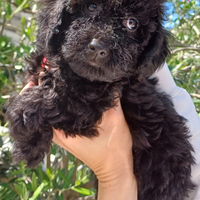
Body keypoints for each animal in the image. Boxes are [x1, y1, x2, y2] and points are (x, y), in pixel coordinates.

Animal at [5, 0, 195, 199]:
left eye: (132, 23)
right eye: (91, 7)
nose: (99, 48)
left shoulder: (88, 107)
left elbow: (58, 99)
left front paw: (23, 114)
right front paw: (30, 146)